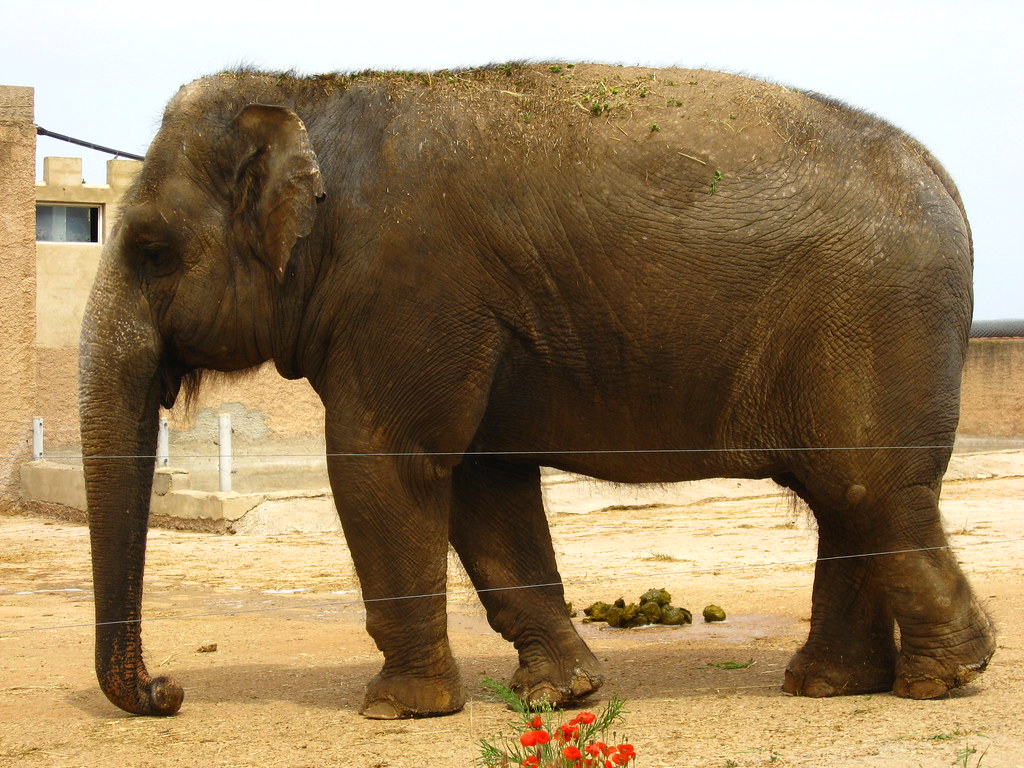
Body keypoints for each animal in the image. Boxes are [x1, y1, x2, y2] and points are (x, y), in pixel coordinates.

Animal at [78, 63, 994, 720]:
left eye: (152, 250)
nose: (169, 691)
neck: (311, 94)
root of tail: (950, 185)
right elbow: (485, 485)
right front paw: (563, 695)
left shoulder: (412, 290)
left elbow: (380, 463)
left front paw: (396, 712)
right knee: (846, 497)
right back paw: (830, 685)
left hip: (875, 320)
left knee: (868, 487)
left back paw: (940, 680)